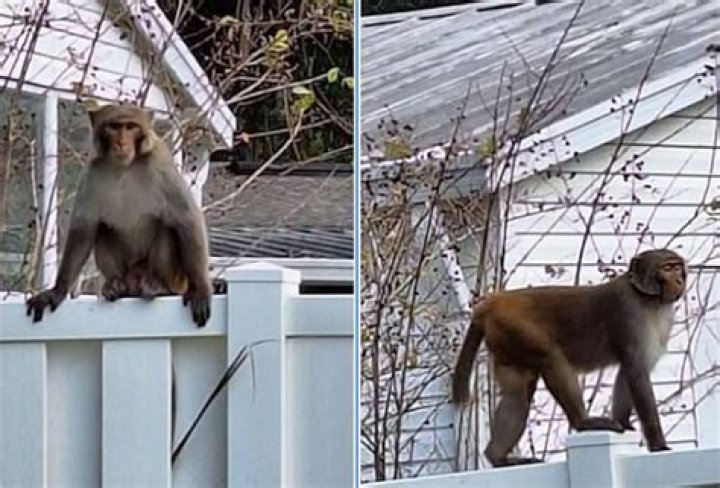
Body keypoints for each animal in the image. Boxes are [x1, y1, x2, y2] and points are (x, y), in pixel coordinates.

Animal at [26, 103, 212, 327]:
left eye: (130, 127)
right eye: (114, 127)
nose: (122, 142)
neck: (125, 166)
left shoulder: (160, 163)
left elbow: (187, 219)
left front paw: (201, 289)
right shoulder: (92, 170)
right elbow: (84, 228)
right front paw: (57, 291)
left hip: (175, 278)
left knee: (167, 228)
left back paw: (158, 285)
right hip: (127, 271)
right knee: (102, 230)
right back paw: (116, 286)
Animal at [452, 249, 686, 467]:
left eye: (677, 267)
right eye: (667, 268)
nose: (679, 280)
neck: (647, 298)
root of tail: (492, 303)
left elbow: (629, 372)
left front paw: (624, 422)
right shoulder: (628, 311)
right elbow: (636, 372)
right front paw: (659, 446)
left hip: (504, 339)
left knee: (516, 395)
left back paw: (498, 457)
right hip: (514, 325)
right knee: (551, 358)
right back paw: (582, 422)